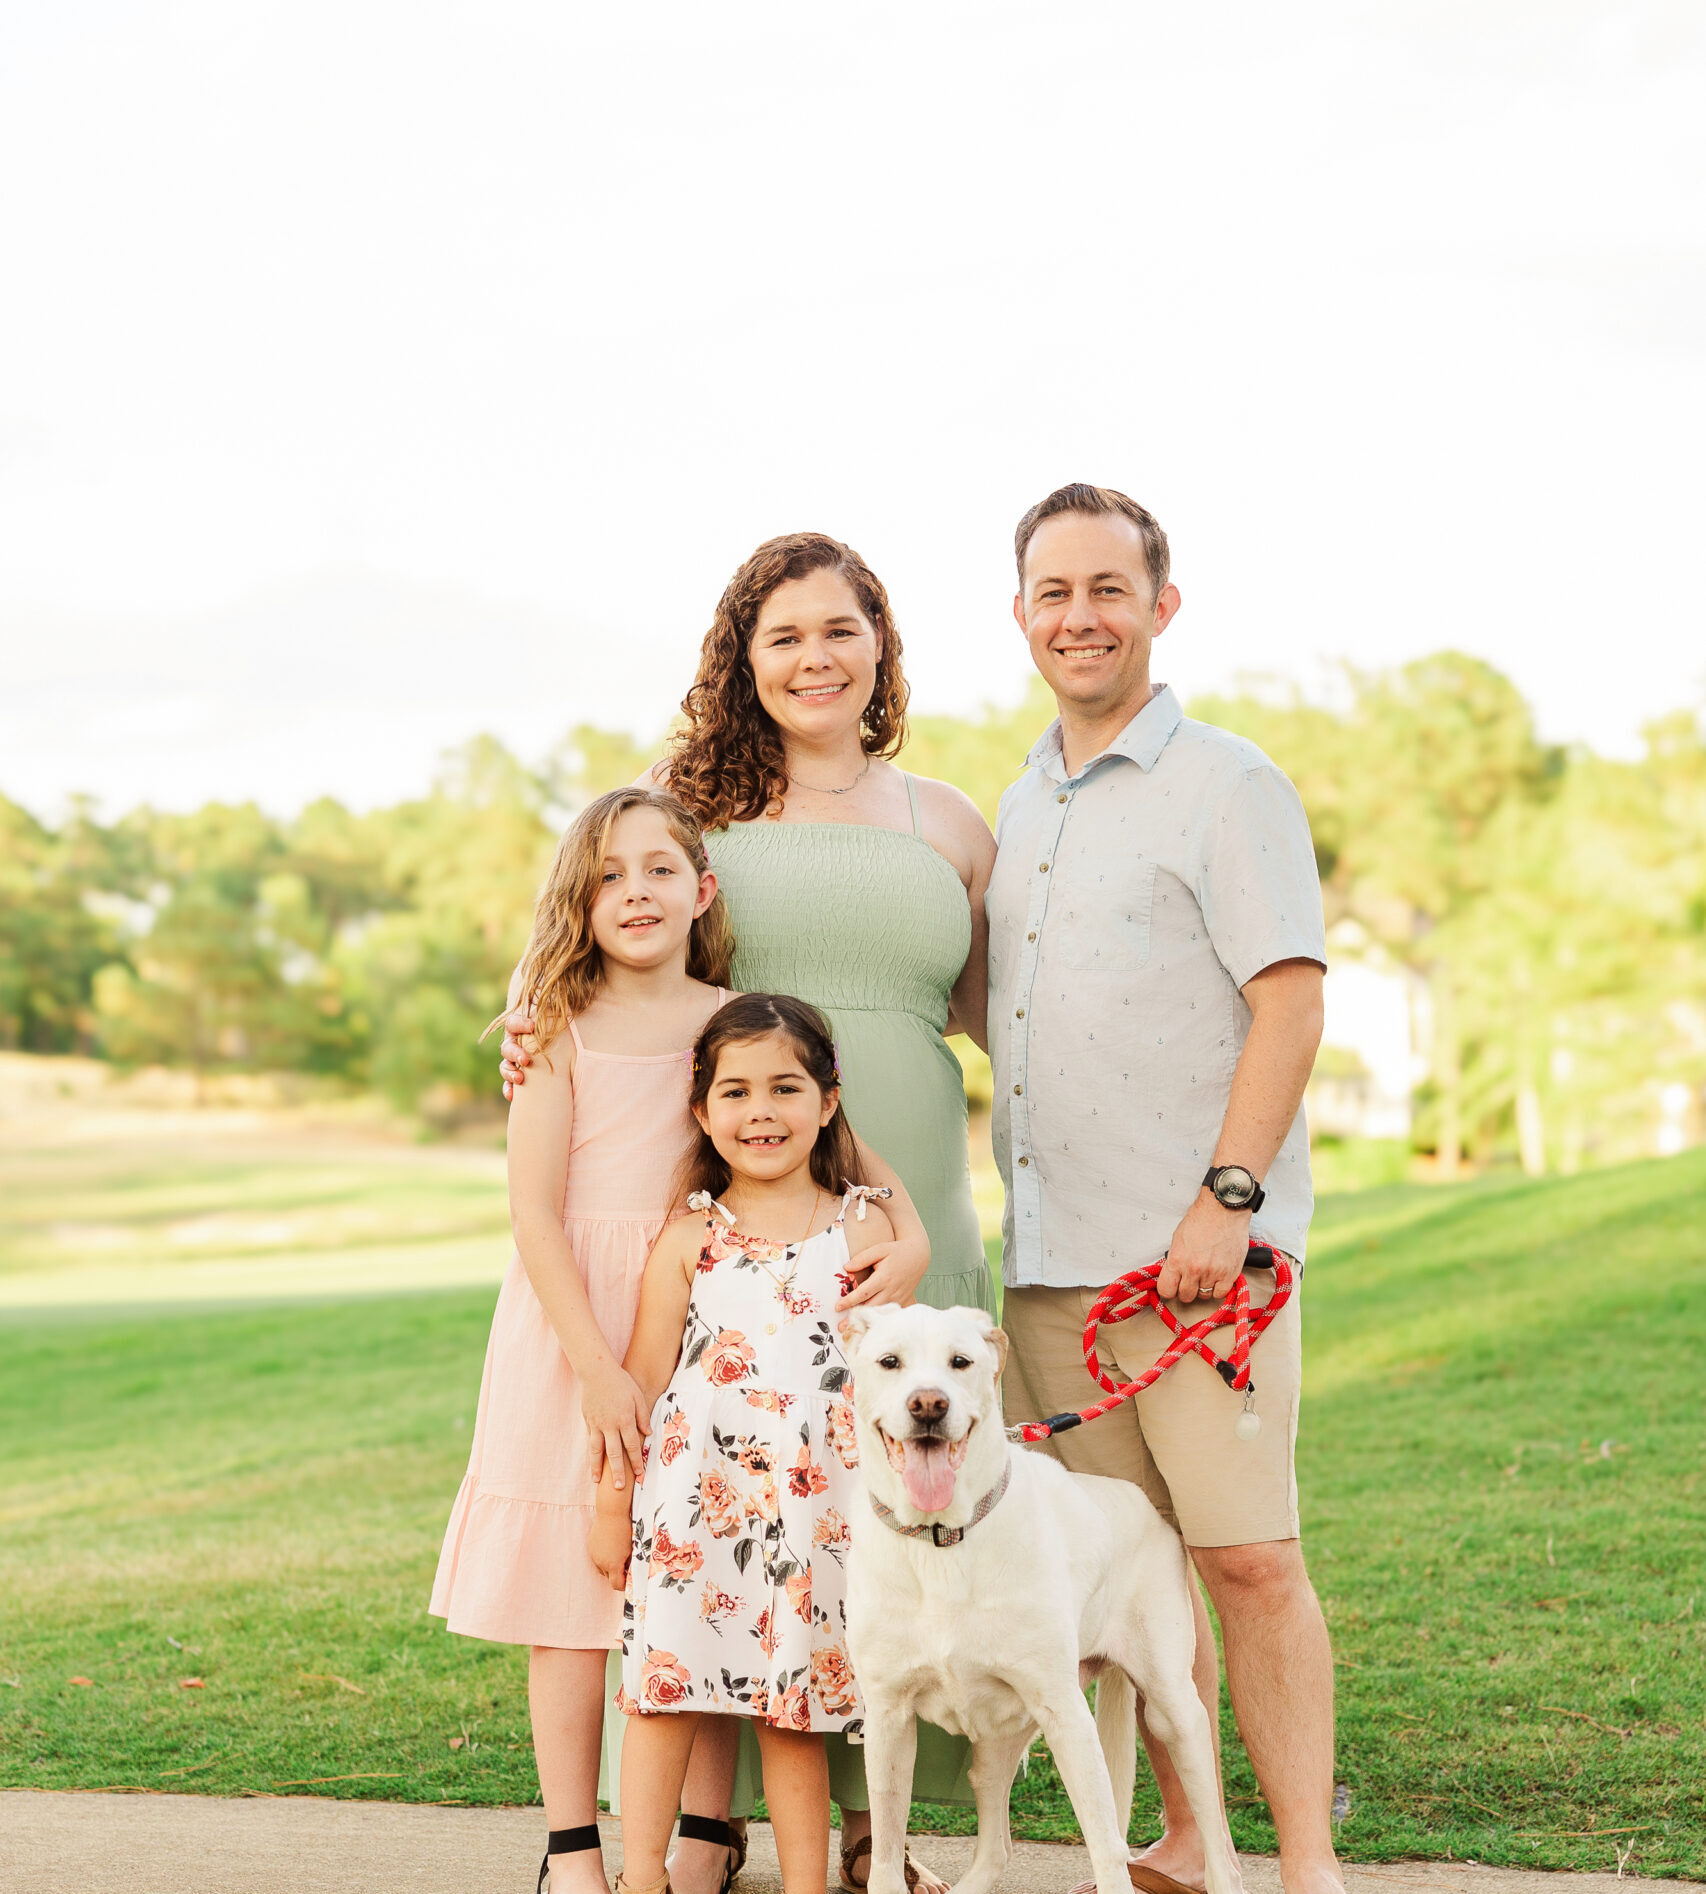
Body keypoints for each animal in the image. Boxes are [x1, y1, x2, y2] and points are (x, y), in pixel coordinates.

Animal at [836, 1310, 1234, 1894]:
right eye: (890, 1362)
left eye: (960, 1361)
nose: (929, 1405)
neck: (941, 1541)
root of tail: (1145, 1504)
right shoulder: (888, 1718)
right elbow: (885, 1854)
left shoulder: (1065, 1713)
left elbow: (1107, 1849)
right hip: (997, 1742)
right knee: (997, 1848)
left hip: (1175, 1713)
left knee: (1215, 1841)